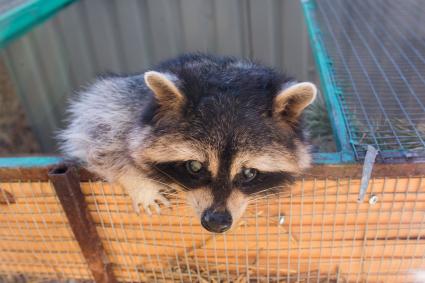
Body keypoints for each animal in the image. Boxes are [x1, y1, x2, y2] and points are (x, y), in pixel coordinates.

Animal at [60, 53, 318, 233]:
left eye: (249, 173)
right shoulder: (124, 100)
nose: (216, 223)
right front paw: (137, 181)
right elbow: (93, 128)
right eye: (194, 167)